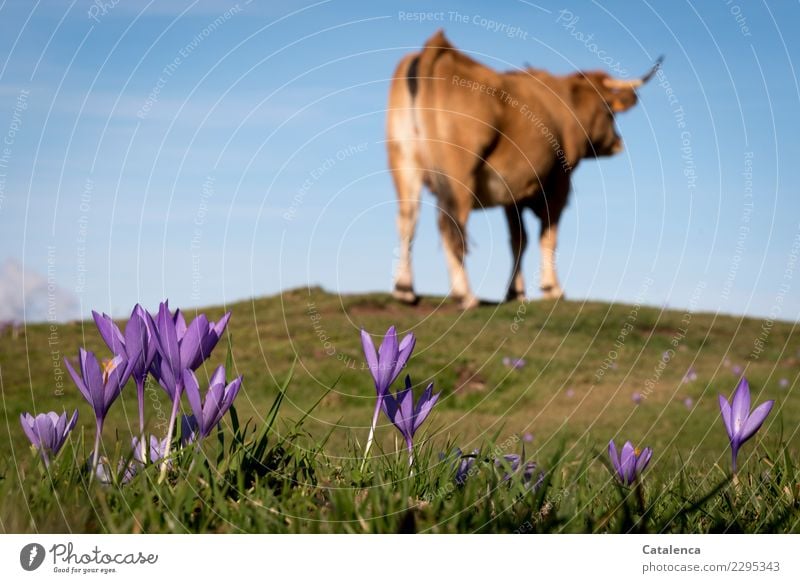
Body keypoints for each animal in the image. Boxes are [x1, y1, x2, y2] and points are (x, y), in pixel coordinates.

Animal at [386, 30, 656, 310]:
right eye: (609, 111)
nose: (617, 142)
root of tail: (438, 47)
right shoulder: (559, 180)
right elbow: (548, 235)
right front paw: (551, 288)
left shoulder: (512, 187)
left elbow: (518, 239)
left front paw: (515, 292)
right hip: (458, 173)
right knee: (449, 225)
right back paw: (465, 295)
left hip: (404, 160)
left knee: (407, 219)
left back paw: (404, 289)